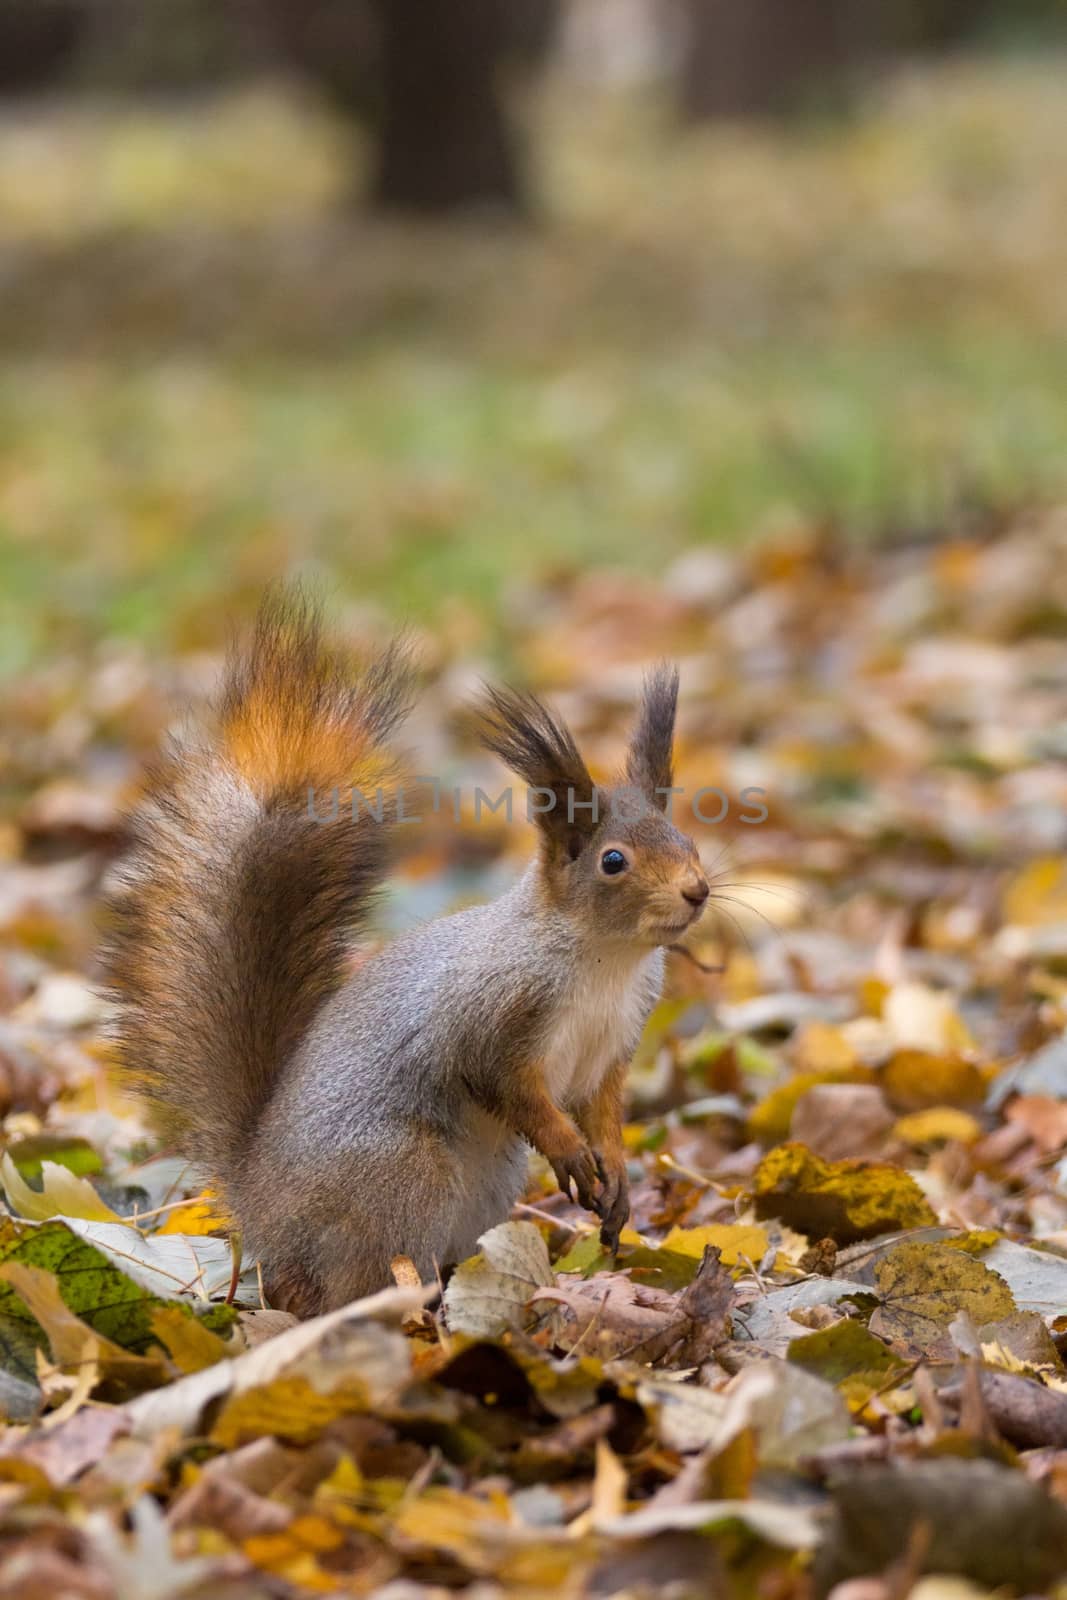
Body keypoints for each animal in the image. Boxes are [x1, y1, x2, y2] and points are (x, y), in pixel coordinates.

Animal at [106, 588, 710, 1312]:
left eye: (687, 840)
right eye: (613, 861)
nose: (698, 891)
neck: (606, 959)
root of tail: (259, 1204)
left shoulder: (613, 1044)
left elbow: (604, 1111)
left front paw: (615, 1178)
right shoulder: (492, 1017)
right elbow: (511, 1088)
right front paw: (569, 1154)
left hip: (485, 1182)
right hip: (402, 1172)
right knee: (348, 1283)